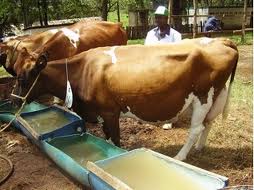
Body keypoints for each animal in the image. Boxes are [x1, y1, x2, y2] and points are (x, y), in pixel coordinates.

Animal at [11, 37, 238, 160]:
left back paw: (180, 156)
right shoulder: (101, 113)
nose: (13, 101)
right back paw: (199, 147)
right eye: (15, 73)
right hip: (214, 96)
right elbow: (107, 138)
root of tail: (221, 40)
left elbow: (115, 140)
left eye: (22, 77)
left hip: (203, 95)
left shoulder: (110, 112)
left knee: (196, 128)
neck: (82, 71)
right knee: (208, 122)